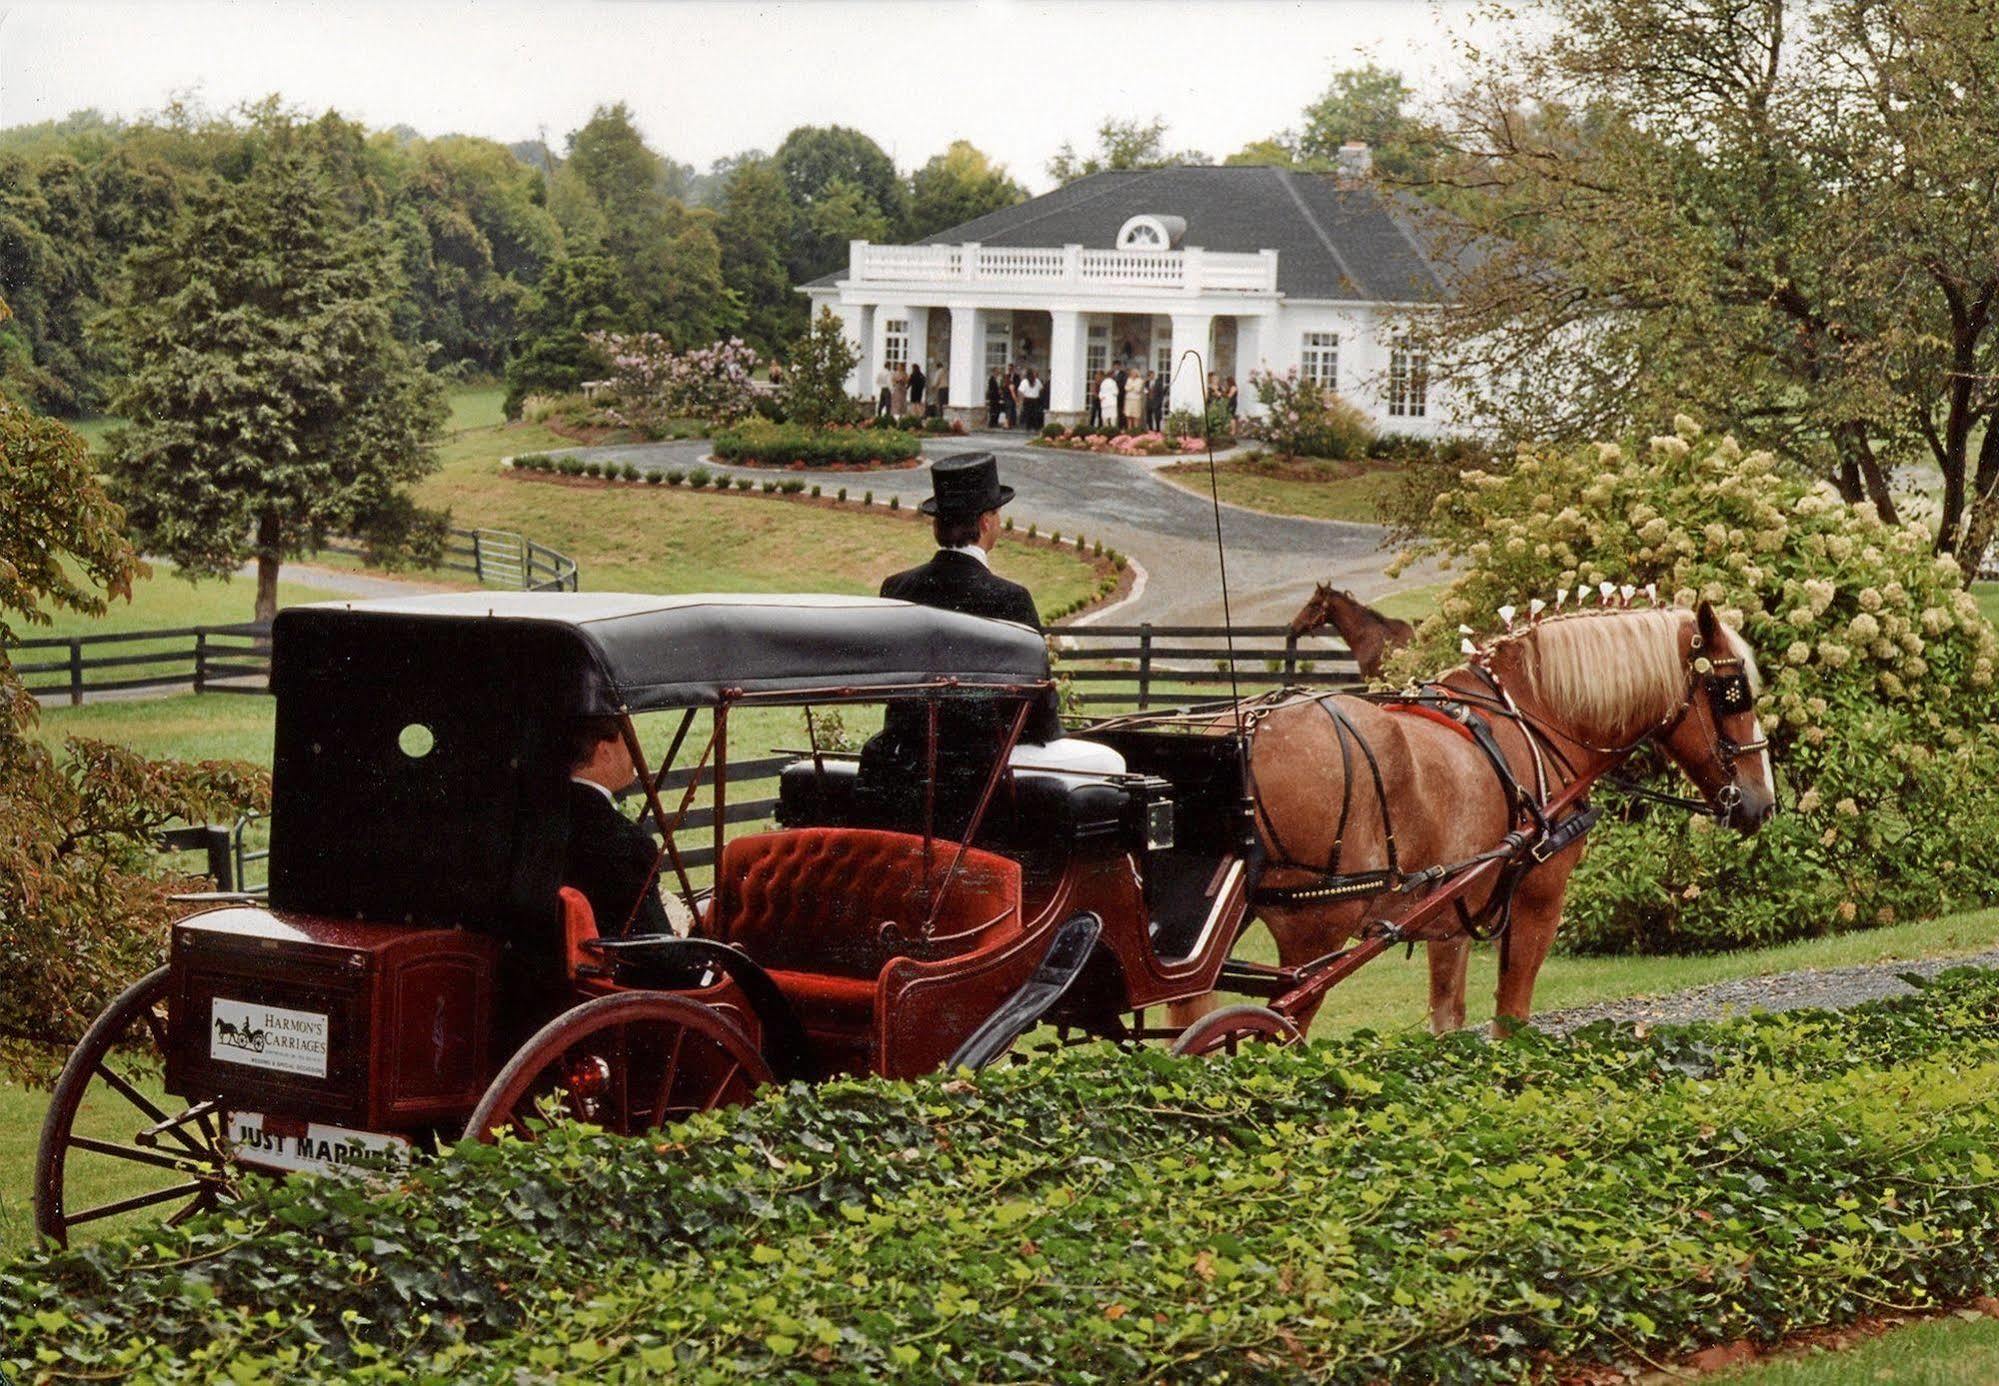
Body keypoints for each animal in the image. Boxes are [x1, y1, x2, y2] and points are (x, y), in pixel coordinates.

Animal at [1239, 600, 1775, 1032]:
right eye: (1734, 692)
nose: (1764, 801)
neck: (1536, 720)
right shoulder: (1538, 900)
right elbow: (1510, 1019)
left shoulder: (1451, 917)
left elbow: (1447, 1020)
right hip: (1313, 934)